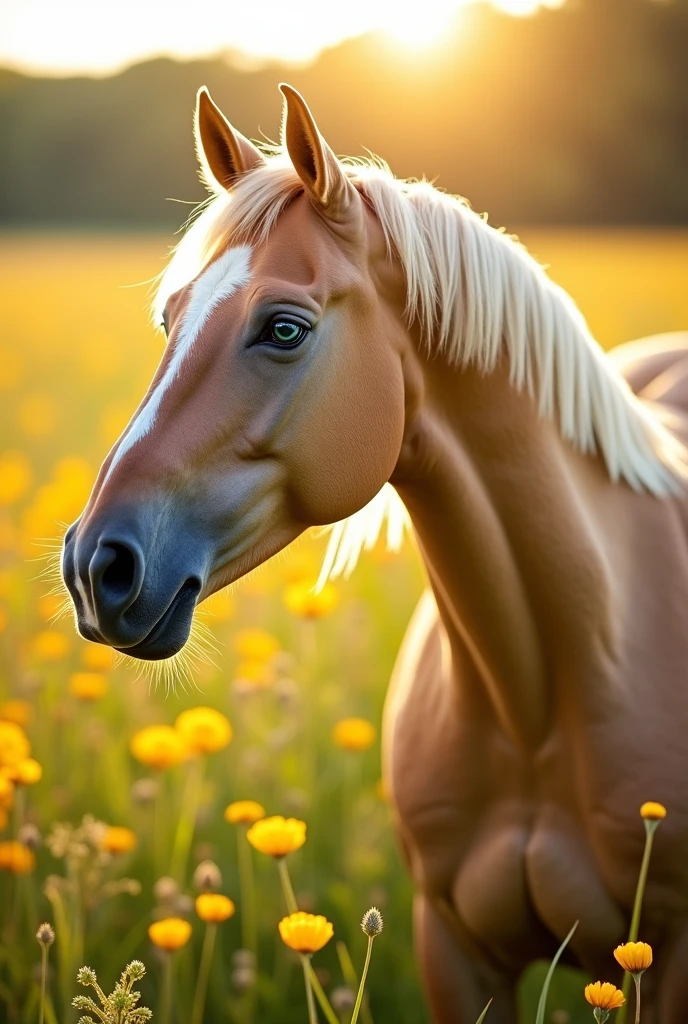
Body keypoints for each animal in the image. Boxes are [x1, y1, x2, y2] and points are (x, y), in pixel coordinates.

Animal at [60, 83, 688, 1019]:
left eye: (284, 329)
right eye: (169, 318)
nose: (96, 566)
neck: (545, 695)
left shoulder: (666, 957)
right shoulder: (455, 949)